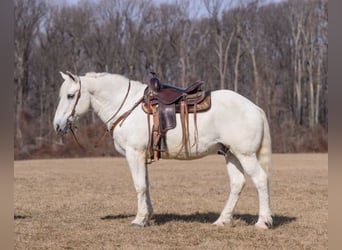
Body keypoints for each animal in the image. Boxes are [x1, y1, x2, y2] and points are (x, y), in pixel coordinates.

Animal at [52, 71, 272, 229]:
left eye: (70, 96)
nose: (57, 125)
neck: (125, 105)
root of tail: (255, 108)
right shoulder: (142, 156)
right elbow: (146, 185)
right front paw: (147, 216)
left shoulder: (134, 153)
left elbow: (139, 186)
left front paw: (139, 220)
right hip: (231, 154)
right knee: (237, 183)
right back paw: (222, 220)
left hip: (245, 155)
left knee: (260, 179)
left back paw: (263, 222)